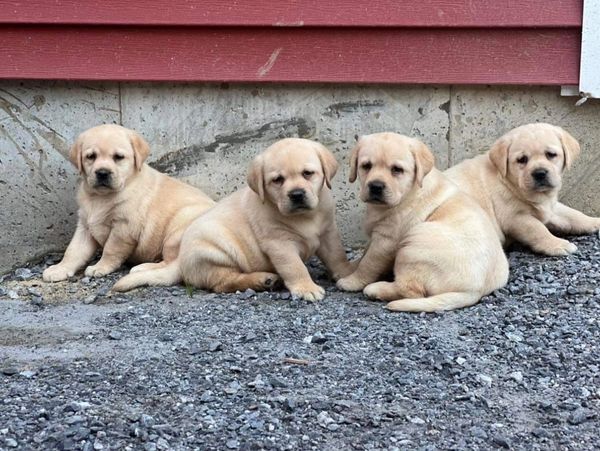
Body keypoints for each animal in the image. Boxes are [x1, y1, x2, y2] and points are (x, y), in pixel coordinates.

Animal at [42, 124, 216, 282]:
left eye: (118, 157)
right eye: (91, 156)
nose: (102, 173)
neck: (100, 198)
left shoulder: (124, 227)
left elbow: (110, 249)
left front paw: (100, 267)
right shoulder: (85, 226)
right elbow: (73, 251)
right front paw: (60, 269)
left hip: (178, 228)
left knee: (174, 263)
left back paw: (142, 268)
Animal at [113, 138, 354, 300]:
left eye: (308, 173)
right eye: (277, 180)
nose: (296, 194)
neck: (305, 217)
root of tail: (181, 261)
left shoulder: (328, 233)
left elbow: (336, 256)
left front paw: (347, 274)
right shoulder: (280, 244)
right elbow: (294, 267)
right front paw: (306, 288)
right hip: (215, 253)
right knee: (224, 283)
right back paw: (262, 280)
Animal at [336, 132, 508, 312]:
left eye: (397, 170)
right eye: (366, 166)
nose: (376, 186)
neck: (407, 193)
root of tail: (475, 290)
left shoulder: (385, 240)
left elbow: (368, 263)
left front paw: (351, 281)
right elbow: (364, 256)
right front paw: (349, 268)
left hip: (413, 244)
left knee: (411, 291)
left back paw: (376, 289)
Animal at [446, 123, 600, 256]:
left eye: (551, 154)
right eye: (522, 159)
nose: (539, 173)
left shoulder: (549, 207)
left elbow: (573, 215)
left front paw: (593, 221)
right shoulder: (515, 218)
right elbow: (538, 230)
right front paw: (557, 244)